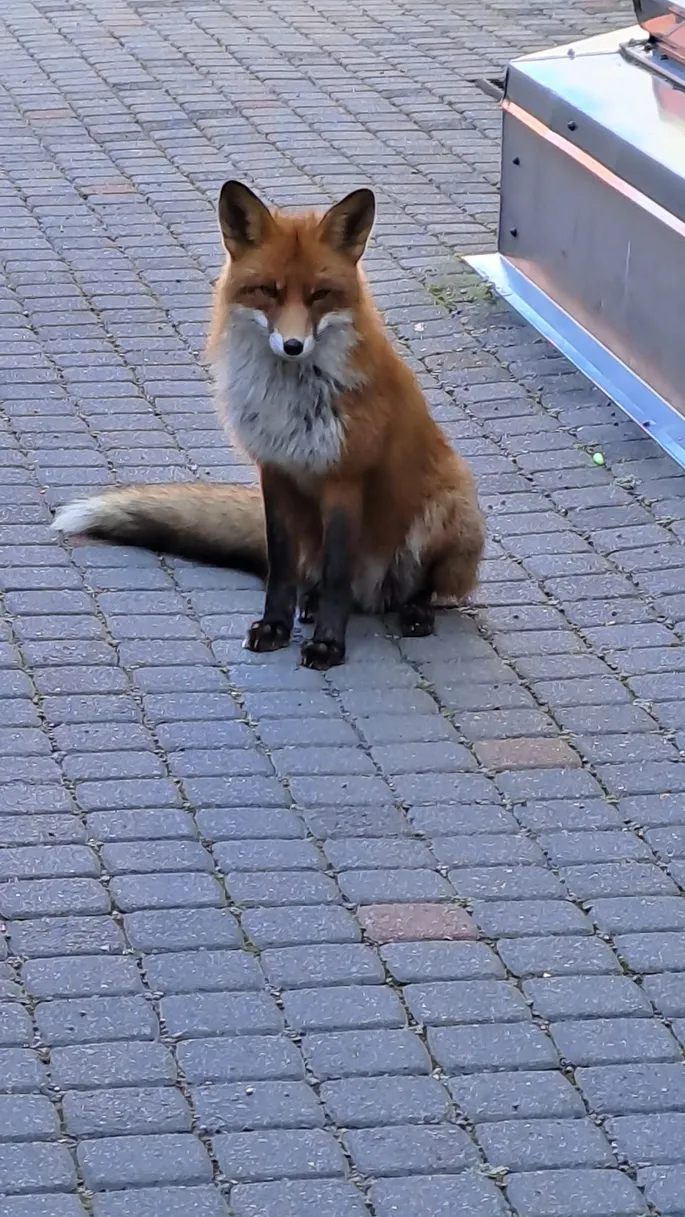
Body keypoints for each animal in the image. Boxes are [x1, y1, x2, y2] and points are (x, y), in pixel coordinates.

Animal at [53, 184, 484, 671]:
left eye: (320, 294)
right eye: (267, 291)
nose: (293, 346)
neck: (289, 402)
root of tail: (376, 596)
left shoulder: (344, 478)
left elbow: (338, 575)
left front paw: (328, 645)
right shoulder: (274, 472)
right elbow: (281, 567)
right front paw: (275, 626)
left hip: (449, 509)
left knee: (426, 589)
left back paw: (414, 610)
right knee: (313, 579)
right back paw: (309, 605)